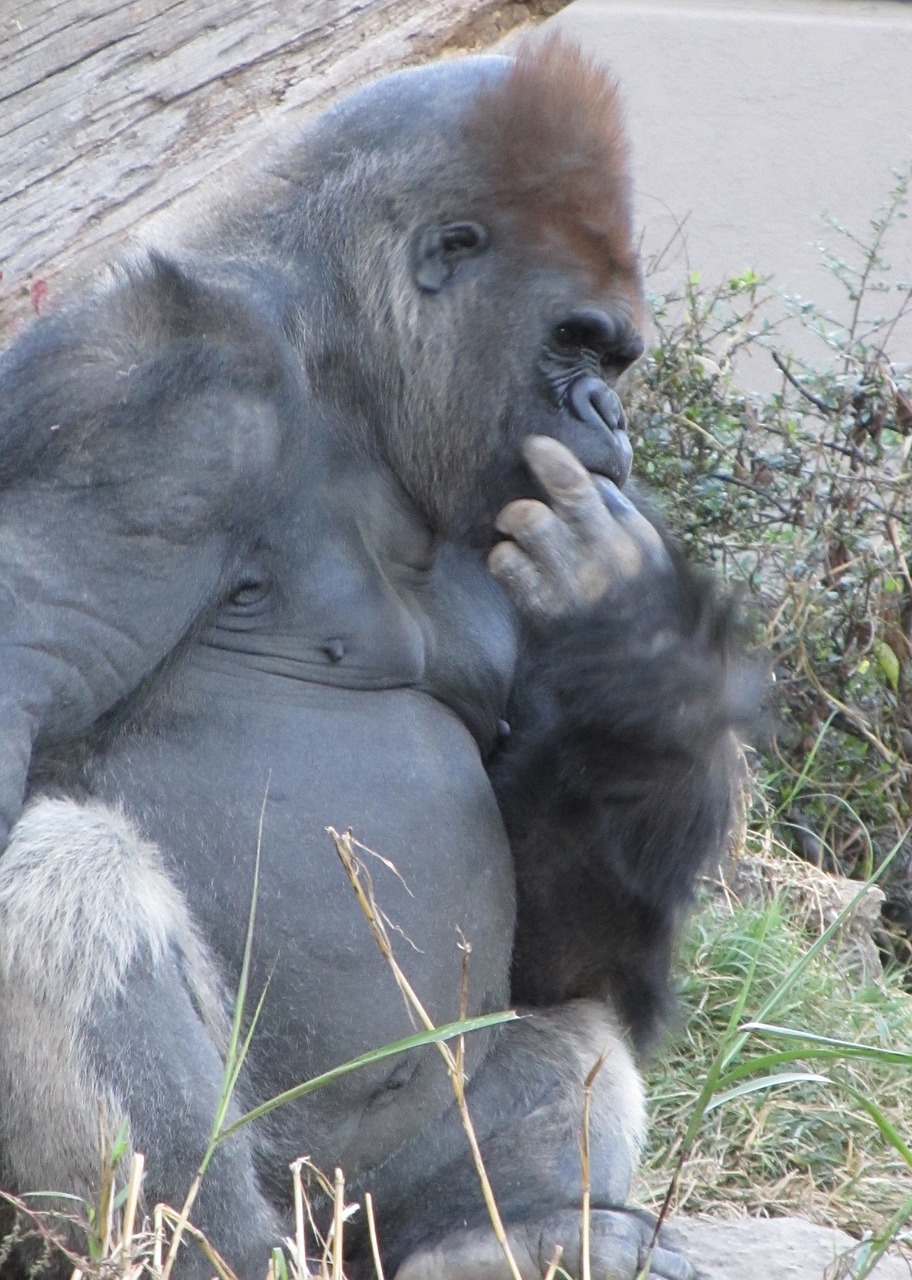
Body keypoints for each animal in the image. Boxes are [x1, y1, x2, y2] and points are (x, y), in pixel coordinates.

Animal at [0, 35, 748, 1280]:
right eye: (575, 341)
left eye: (615, 354)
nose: (610, 414)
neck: (346, 367)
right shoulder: (151, 387)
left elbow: (560, 948)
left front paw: (635, 640)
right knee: (67, 872)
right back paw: (203, 1247)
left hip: (364, 1212)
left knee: (571, 1036)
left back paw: (503, 1235)